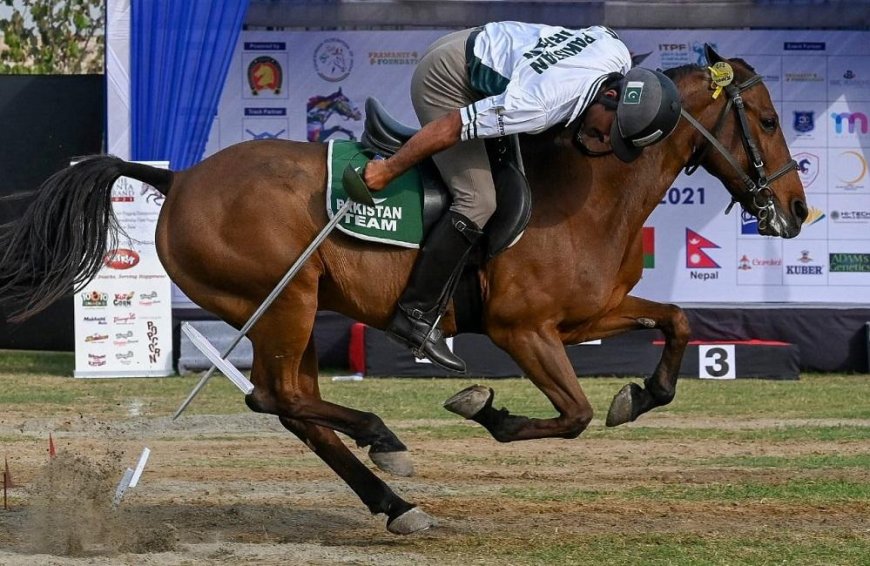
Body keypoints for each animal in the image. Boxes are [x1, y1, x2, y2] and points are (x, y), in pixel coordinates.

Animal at [0, 45, 808, 536]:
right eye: (768, 121)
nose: (797, 211)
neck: (588, 180)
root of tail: (180, 179)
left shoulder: (587, 316)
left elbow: (675, 321)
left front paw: (641, 395)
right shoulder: (523, 328)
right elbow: (573, 414)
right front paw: (487, 409)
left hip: (296, 310)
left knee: (290, 405)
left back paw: (394, 502)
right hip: (284, 303)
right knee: (277, 398)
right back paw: (385, 440)